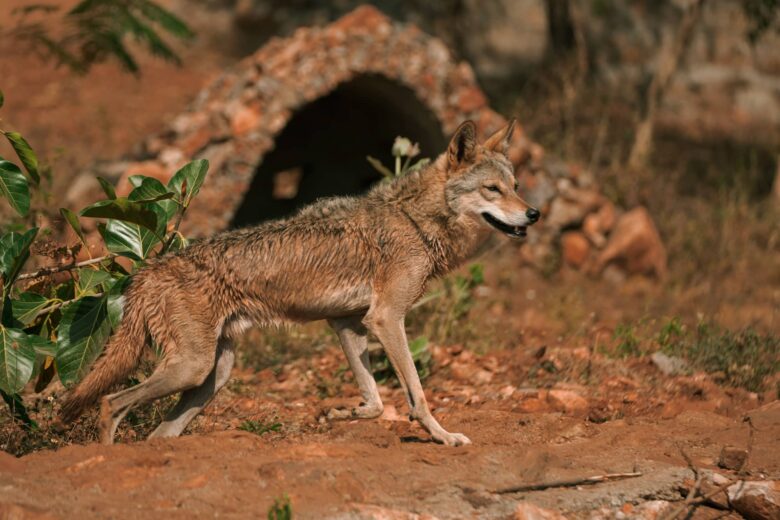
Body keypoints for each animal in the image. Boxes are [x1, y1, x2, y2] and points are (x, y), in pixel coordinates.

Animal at [59, 119, 540, 446]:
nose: (533, 213)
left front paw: (341, 413)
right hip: (190, 368)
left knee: (157, 434)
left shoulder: (348, 323)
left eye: (517, 185)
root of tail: (146, 272)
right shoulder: (387, 319)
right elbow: (417, 395)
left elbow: (376, 401)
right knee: (110, 404)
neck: (413, 220)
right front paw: (442, 436)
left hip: (212, 375)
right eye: (493, 189)